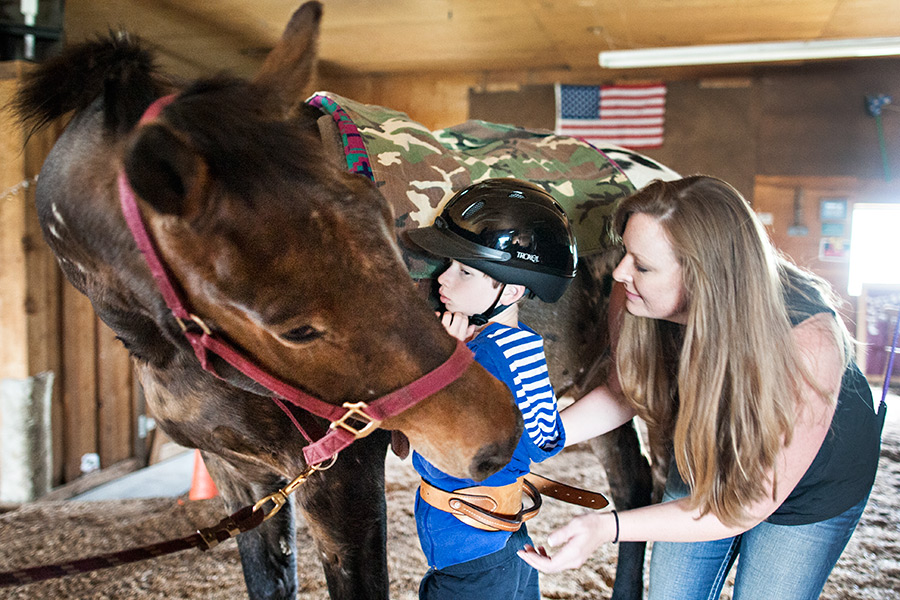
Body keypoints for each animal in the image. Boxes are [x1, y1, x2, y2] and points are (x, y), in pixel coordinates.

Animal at [12, 2, 681, 598]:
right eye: (292, 328)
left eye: (383, 220)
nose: (497, 437)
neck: (172, 351)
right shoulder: (243, 481)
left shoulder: (342, 483)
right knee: (631, 485)